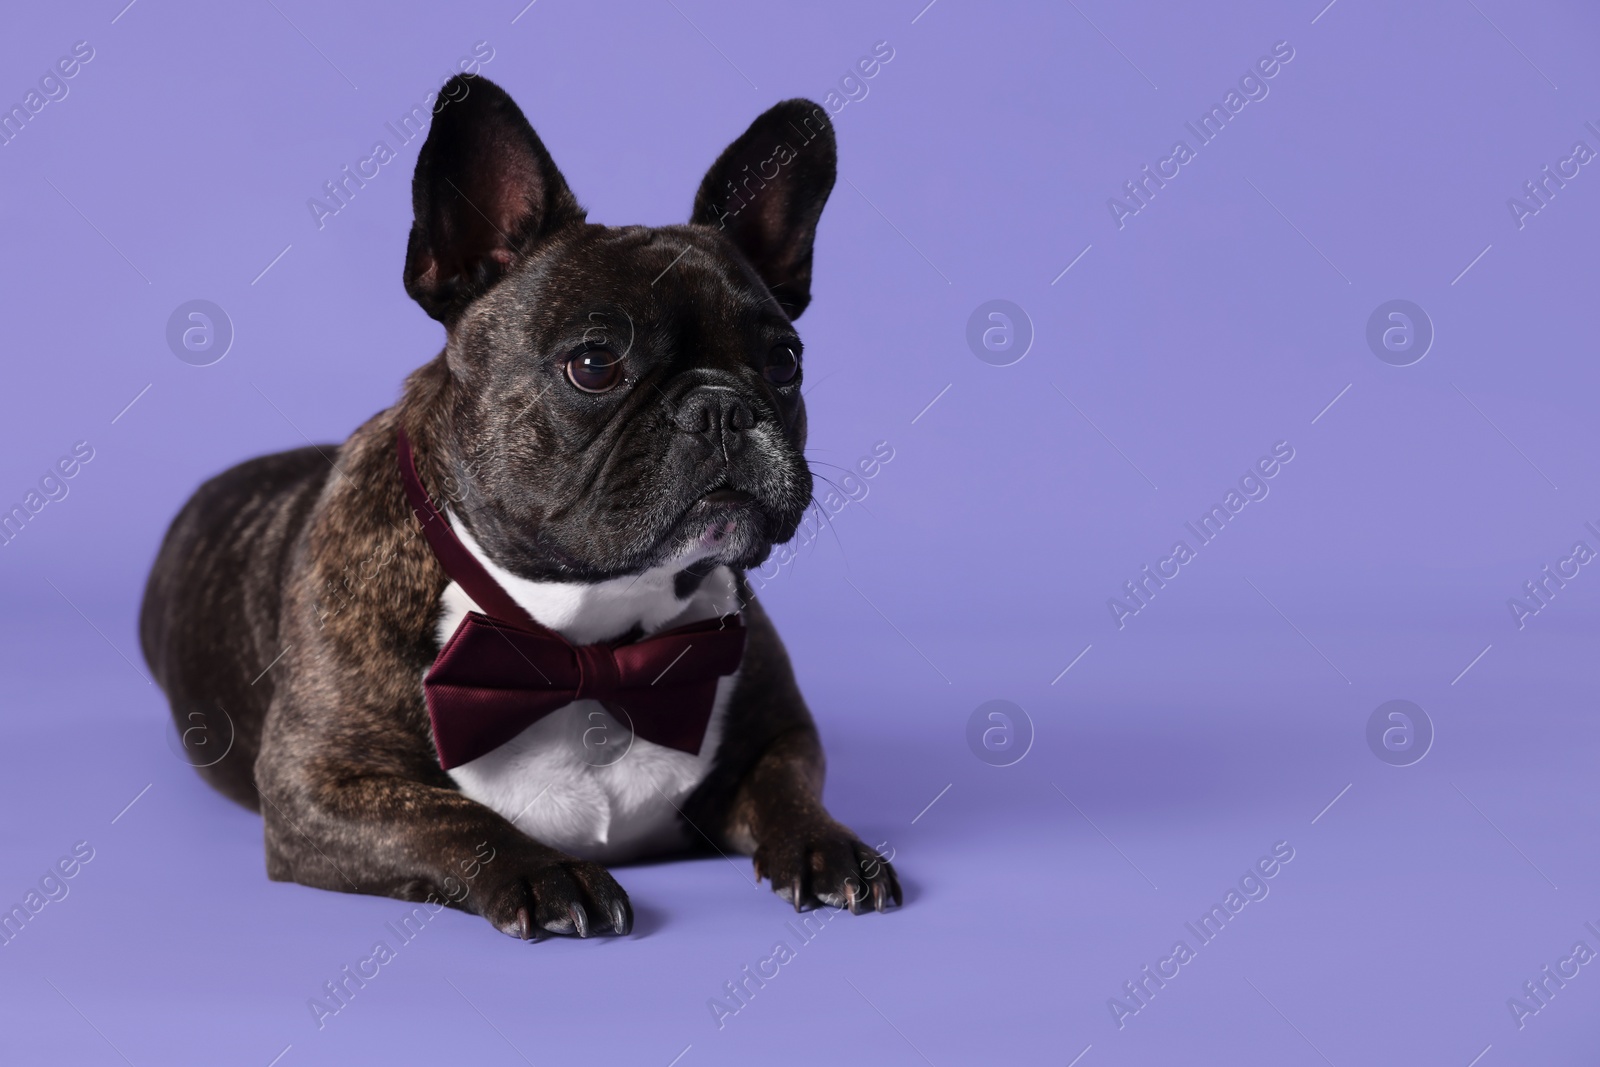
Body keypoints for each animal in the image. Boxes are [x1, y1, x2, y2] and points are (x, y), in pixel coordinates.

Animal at [137, 75, 902, 940]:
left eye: (785, 362)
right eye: (595, 364)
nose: (722, 408)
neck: (590, 638)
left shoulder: (781, 732)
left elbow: (788, 787)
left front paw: (828, 845)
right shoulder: (323, 783)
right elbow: (456, 819)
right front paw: (548, 870)